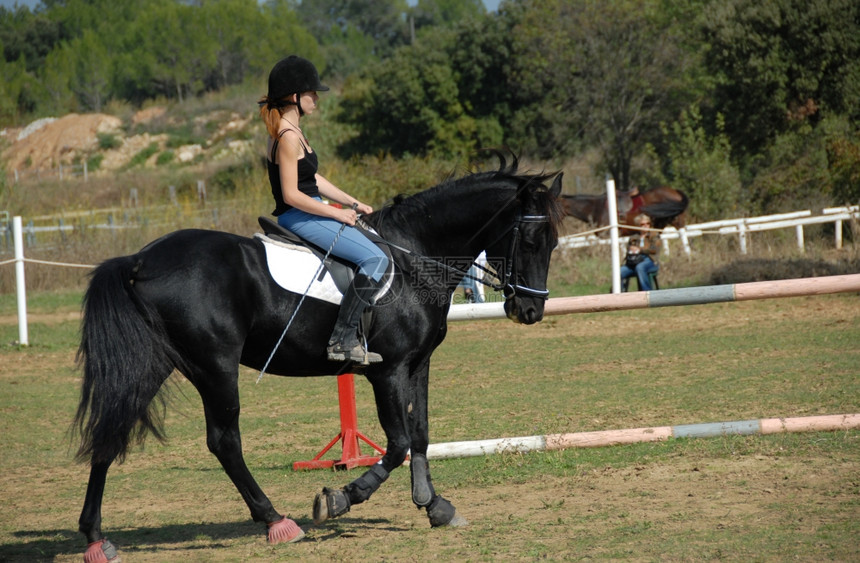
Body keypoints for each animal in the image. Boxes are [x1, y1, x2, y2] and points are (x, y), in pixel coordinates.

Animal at [74, 156, 564, 560]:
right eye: (532, 239)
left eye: (554, 241)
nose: (530, 311)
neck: (415, 258)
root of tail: (140, 259)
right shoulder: (387, 372)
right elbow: (398, 442)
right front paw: (340, 499)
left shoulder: (418, 363)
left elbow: (421, 434)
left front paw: (435, 506)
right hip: (216, 367)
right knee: (224, 441)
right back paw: (277, 522)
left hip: (155, 364)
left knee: (111, 429)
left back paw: (96, 538)